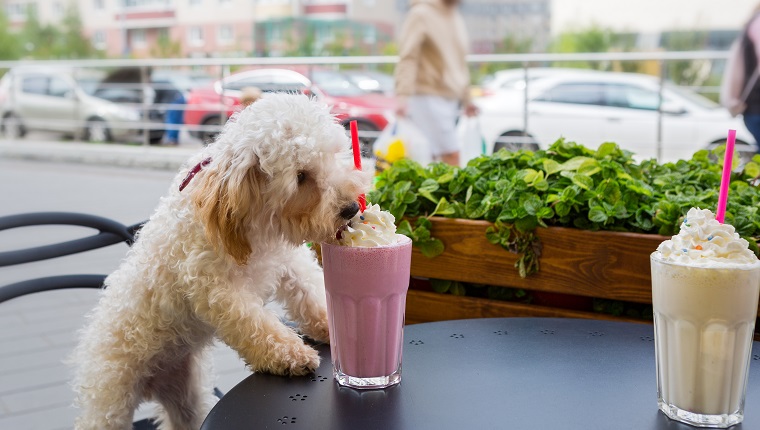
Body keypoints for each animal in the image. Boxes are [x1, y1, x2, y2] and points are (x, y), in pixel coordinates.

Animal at [70, 92, 372, 428]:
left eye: (334, 156)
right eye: (301, 176)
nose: (350, 208)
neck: (253, 221)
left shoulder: (289, 263)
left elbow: (312, 294)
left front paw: (330, 327)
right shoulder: (215, 288)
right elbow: (254, 323)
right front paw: (290, 354)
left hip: (186, 398)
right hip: (110, 399)